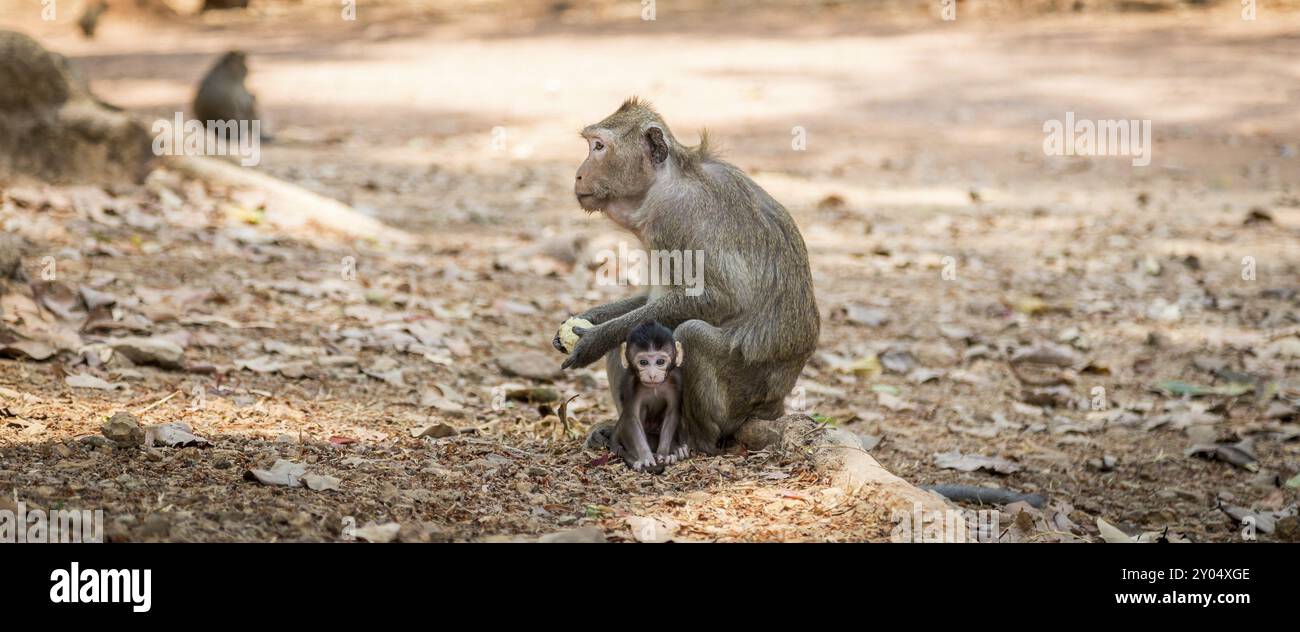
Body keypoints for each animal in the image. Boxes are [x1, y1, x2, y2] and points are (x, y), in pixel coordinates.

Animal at [555, 97, 819, 456]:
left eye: (599, 147)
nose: (579, 174)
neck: (667, 181)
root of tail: (773, 405)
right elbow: (652, 299)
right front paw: (592, 319)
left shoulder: (675, 218)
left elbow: (720, 298)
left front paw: (595, 339)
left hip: (740, 396)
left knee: (693, 334)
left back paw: (697, 439)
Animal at [609, 322, 688, 472]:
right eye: (644, 362)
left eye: (660, 362)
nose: (652, 375)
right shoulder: (630, 383)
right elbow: (632, 417)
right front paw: (645, 457)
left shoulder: (677, 378)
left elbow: (672, 412)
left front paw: (663, 454)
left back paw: (676, 448)